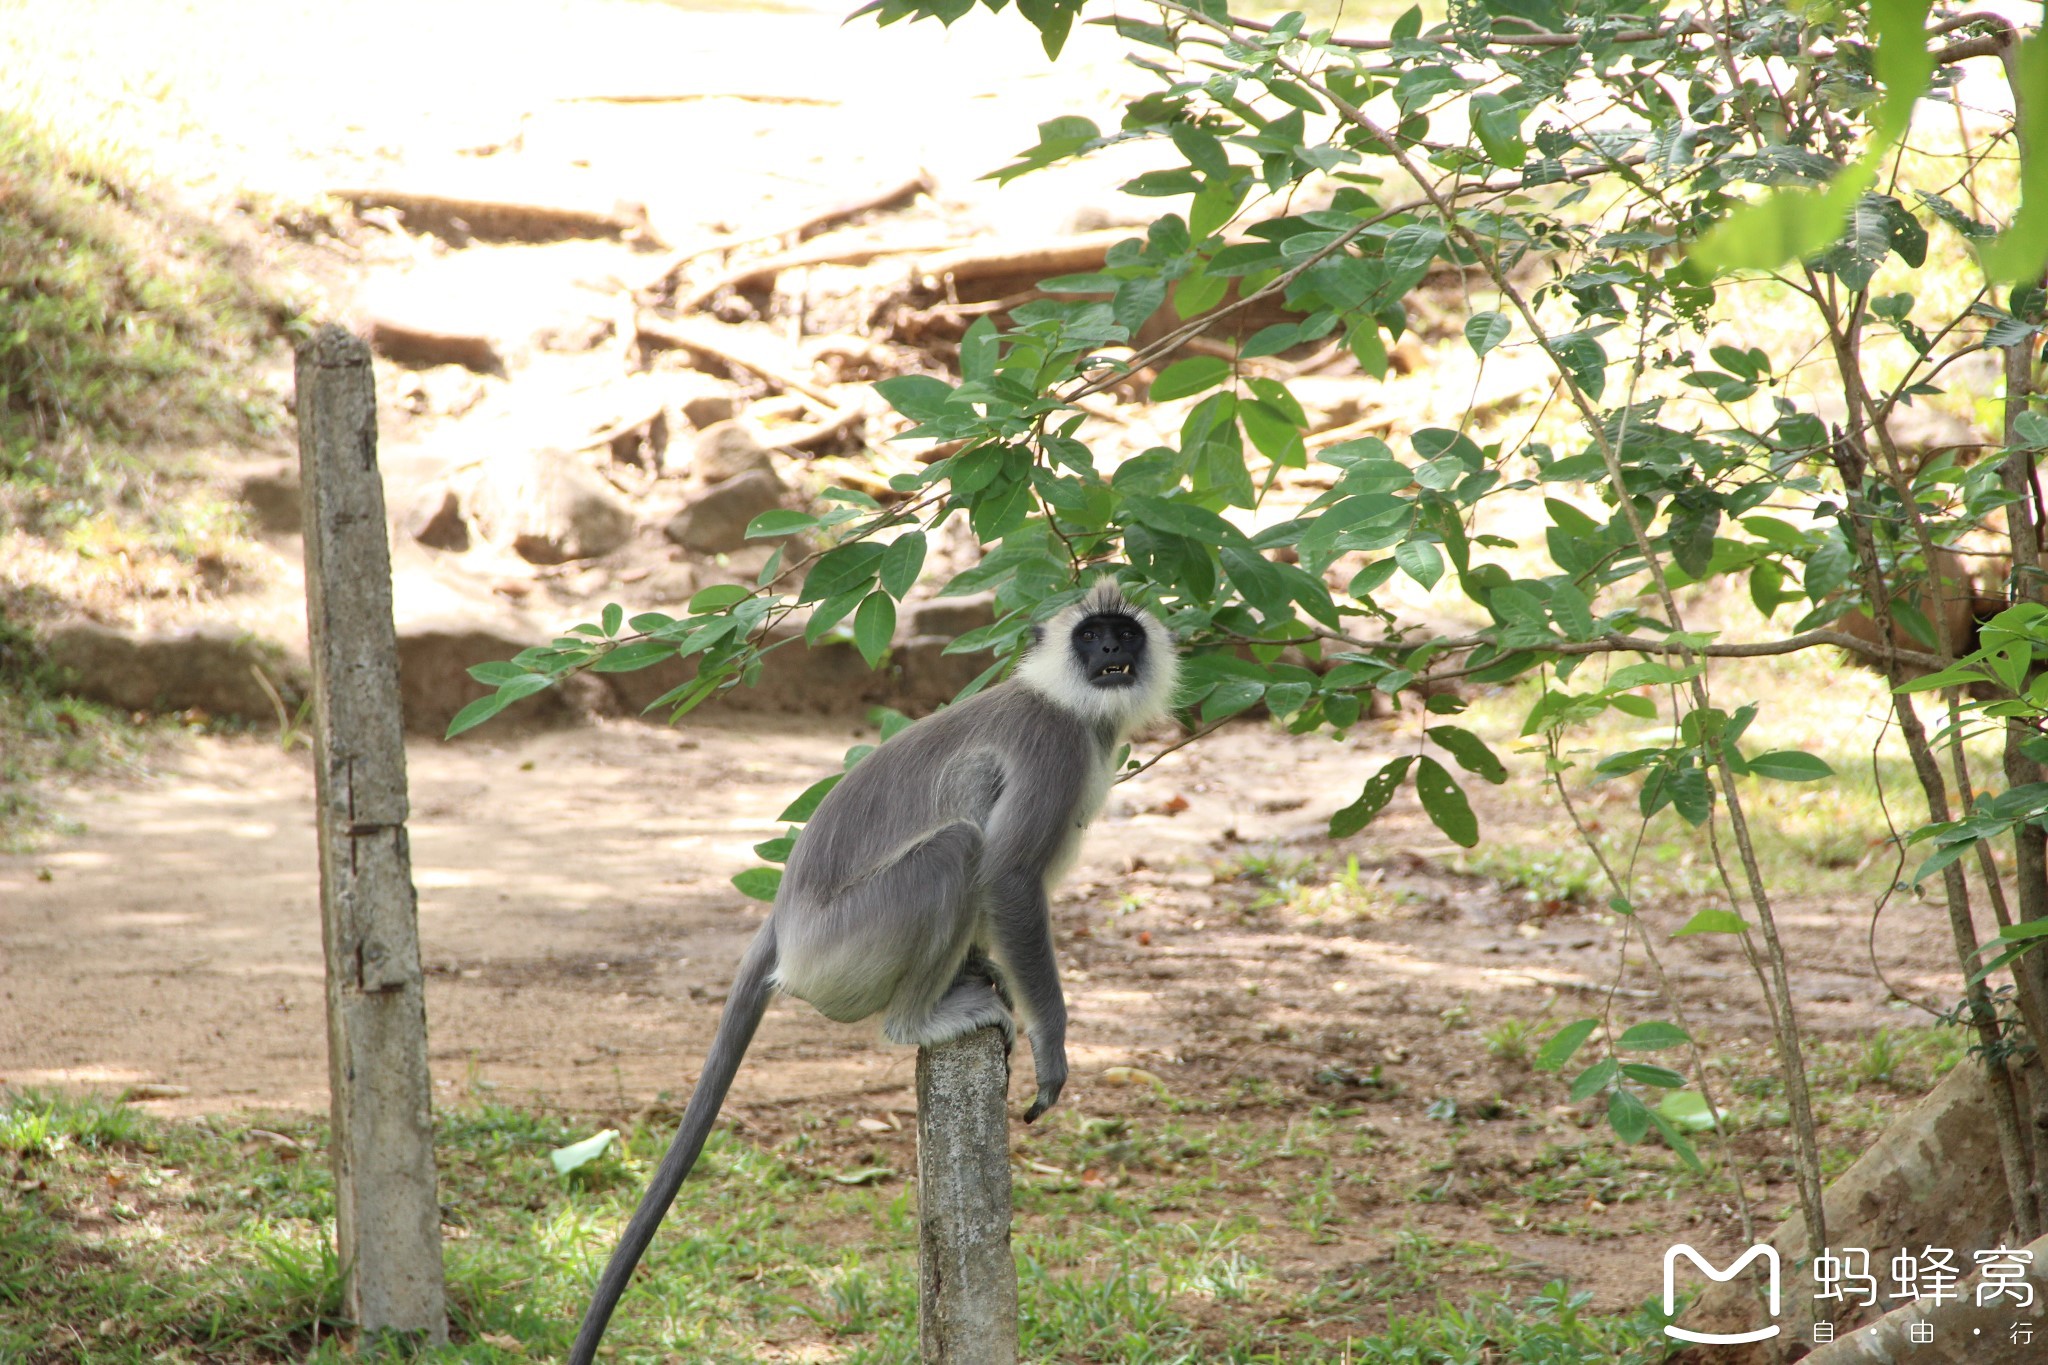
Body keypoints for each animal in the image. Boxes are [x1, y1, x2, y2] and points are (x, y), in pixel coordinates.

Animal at [569, 581, 1187, 1358]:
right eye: (1092, 636)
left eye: (1123, 634)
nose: (1109, 650)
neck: (1070, 704)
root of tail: (784, 921)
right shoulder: (1056, 749)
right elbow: (1009, 877)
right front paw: (1052, 1044)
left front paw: (988, 969)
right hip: (849, 943)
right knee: (958, 847)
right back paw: (922, 1019)